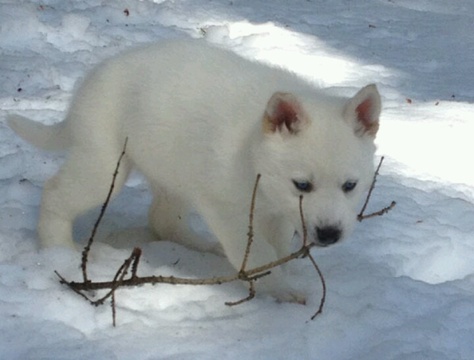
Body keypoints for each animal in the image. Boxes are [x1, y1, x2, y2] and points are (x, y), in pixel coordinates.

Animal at [9, 39, 382, 302]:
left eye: (350, 186)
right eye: (302, 185)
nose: (330, 235)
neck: (252, 152)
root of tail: (88, 84)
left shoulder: (277, 211)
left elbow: (275, 247)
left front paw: (283, 273)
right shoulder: (229, 209)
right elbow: (258, 253)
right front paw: (281, 289)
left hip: (174, 171)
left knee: (162, 219)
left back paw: (203, 245)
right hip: (104, 167)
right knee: (56, 193)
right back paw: (59, 250)